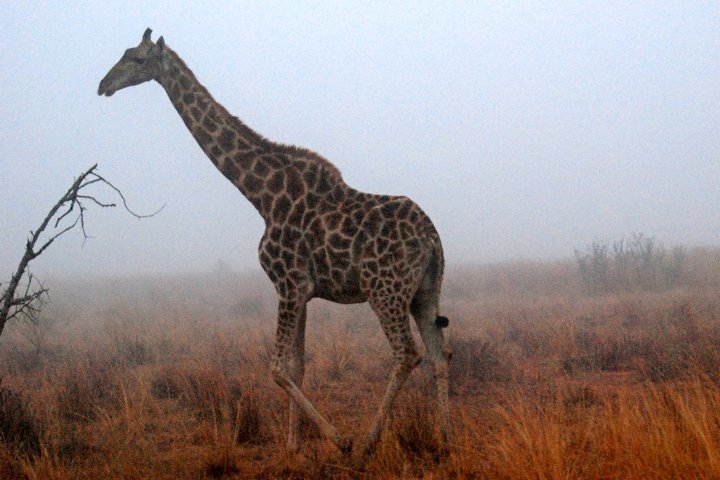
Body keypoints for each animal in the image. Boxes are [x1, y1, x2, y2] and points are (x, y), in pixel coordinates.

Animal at [99, 30, 452, 458]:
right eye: (124, 54)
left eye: (136, 59)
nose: (103, 85)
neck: (261, 196)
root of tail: (433, 238)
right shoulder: (304, 291)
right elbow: (297, 367)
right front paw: (293, 445)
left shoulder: (288, 284)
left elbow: (278, 368)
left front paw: (337, 439)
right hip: (424, 292)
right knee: (439, 354)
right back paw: (444, 436)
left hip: (384, 290)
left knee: (407, 353)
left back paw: (369, 440)